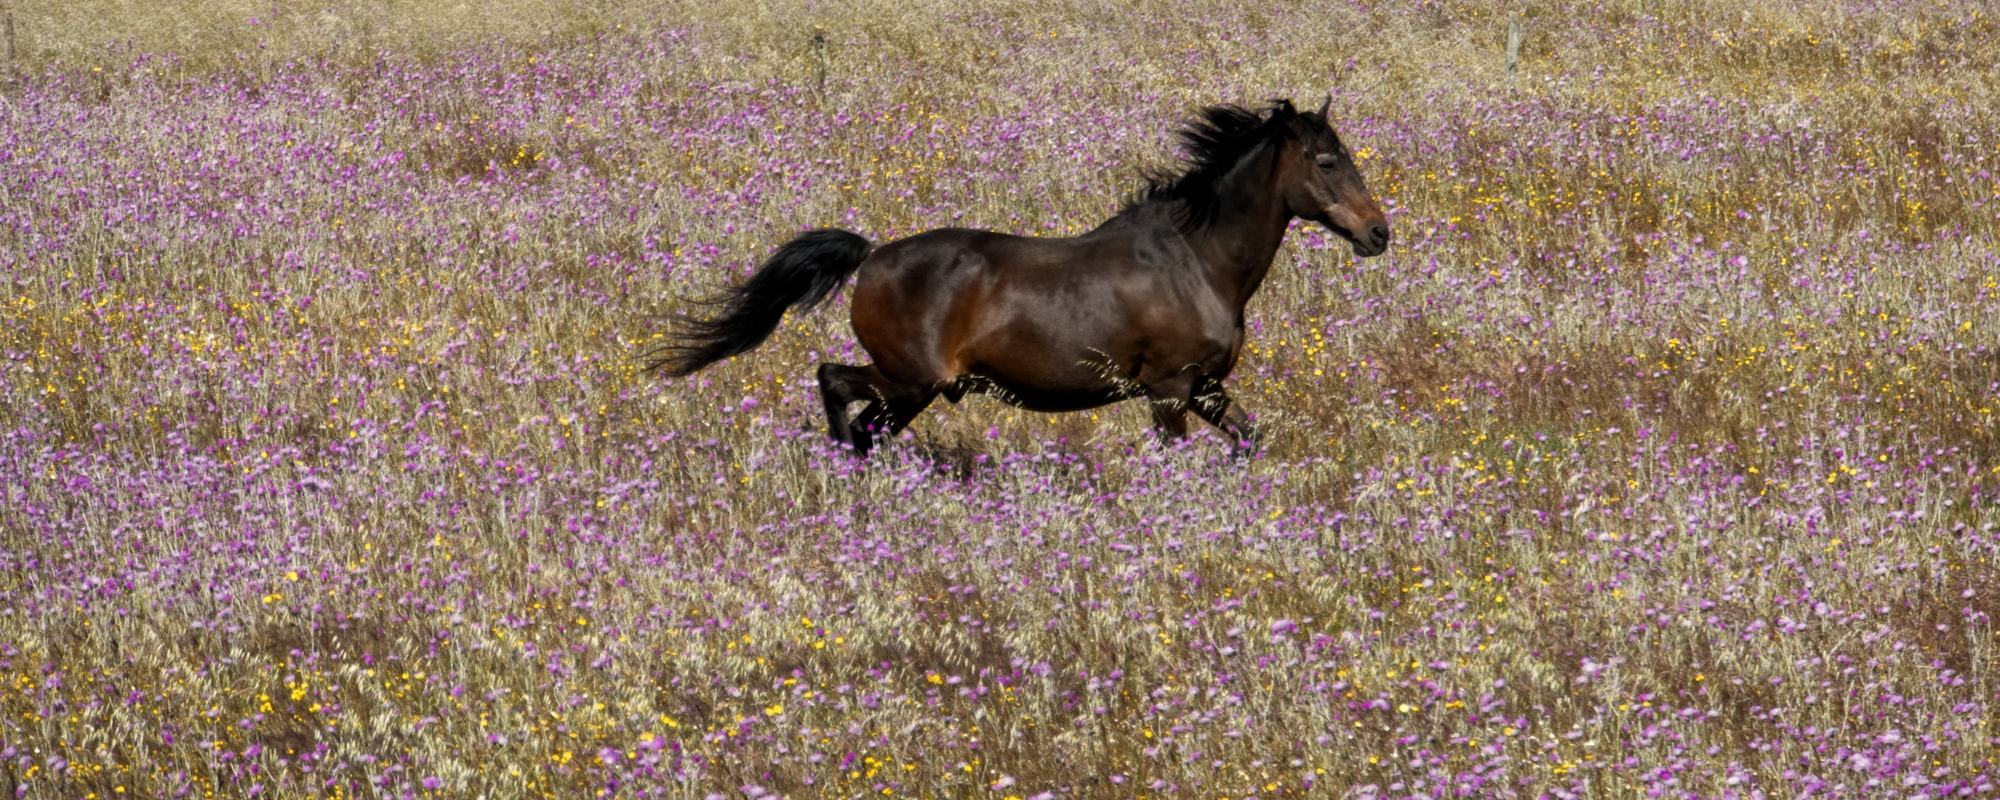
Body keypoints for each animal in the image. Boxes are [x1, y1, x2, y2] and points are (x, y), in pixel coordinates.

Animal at [649, 97, 1390, 456]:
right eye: (1327, 161)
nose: (1379, 234)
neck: (1197, 262)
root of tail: (873, 256)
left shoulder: (1206, 389)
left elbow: (1249, 442)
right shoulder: (1169, 390)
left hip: (911, 390)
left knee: (865, 426)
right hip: (912, 379)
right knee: (835, 385)